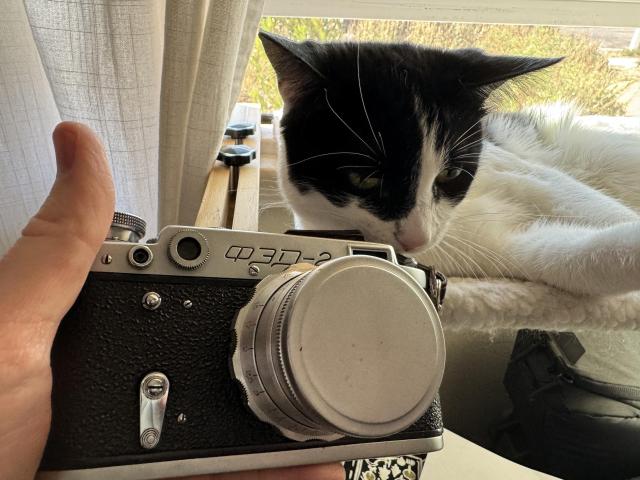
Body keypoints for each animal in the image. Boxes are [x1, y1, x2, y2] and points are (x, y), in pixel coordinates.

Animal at [258, 31, 640, 296]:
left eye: (451, 173)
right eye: (364, 178)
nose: (416, 238)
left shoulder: (520, 170)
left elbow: (582, 200)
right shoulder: (493, 249)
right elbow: (572, 258)